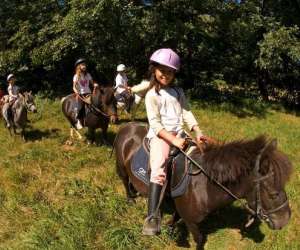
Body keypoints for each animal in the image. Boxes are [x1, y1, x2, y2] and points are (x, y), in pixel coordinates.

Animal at [115, 121, 292, 248]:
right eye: (273, 194)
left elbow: (175, 217)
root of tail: (127, 126)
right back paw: (130, 199)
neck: (202, 185)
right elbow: (199, 240)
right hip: (122, 168)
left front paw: (170, 227)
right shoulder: (192, 222)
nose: (285, 221)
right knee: (125, 181)